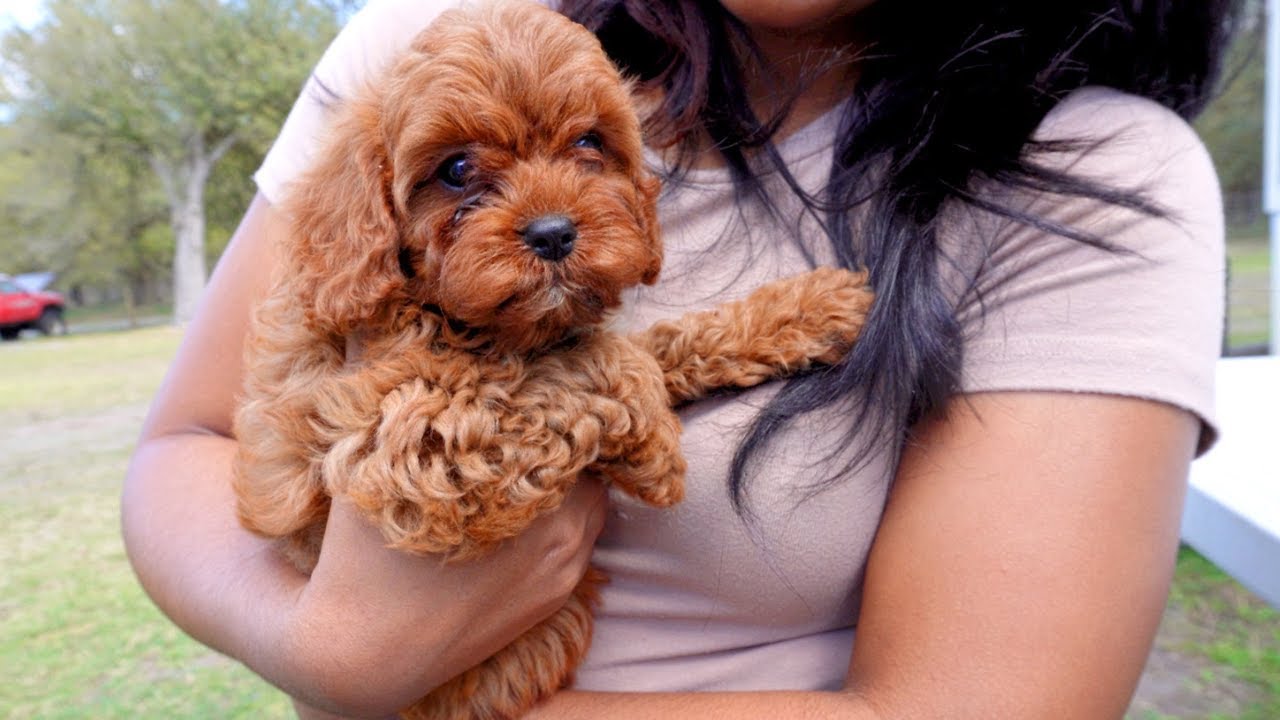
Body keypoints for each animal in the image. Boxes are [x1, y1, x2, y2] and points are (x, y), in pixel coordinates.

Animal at [230, 2, 875, 712]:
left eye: (589, 143)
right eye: (456, 170)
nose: (553, 233)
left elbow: (655, 343)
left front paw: (814, 305)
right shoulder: (407, 434)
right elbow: (580, 367)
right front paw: (654, 444)